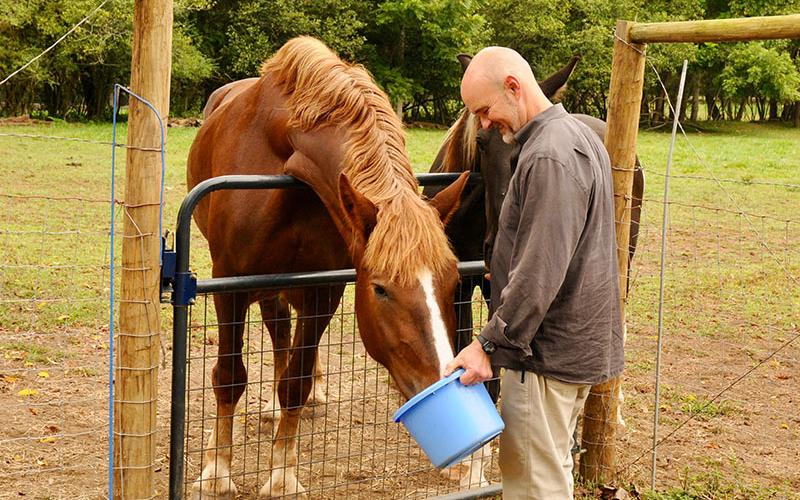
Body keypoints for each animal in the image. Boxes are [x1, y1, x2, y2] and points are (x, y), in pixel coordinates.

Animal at [187, 37, 471, 498]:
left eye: (452, 283)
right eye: (381, 288)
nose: (443, 379)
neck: (285, 144)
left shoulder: (322, 290)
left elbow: (297, 382)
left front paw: (282, 474)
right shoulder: (231, 284)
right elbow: (229, 375)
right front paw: (217, 471)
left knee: (282, 336)